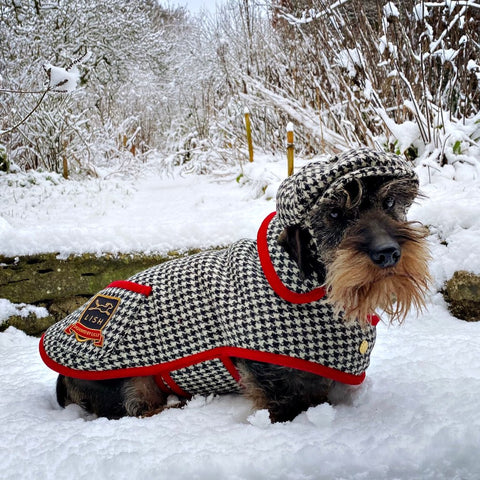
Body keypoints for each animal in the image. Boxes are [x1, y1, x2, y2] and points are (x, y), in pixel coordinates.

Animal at [40, 148, 432, 422]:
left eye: (390, 202)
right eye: (334, 214)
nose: (388, 253)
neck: (312, 283)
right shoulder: (272, 374)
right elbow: (294, 402)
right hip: (130, 383)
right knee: (136, 409)